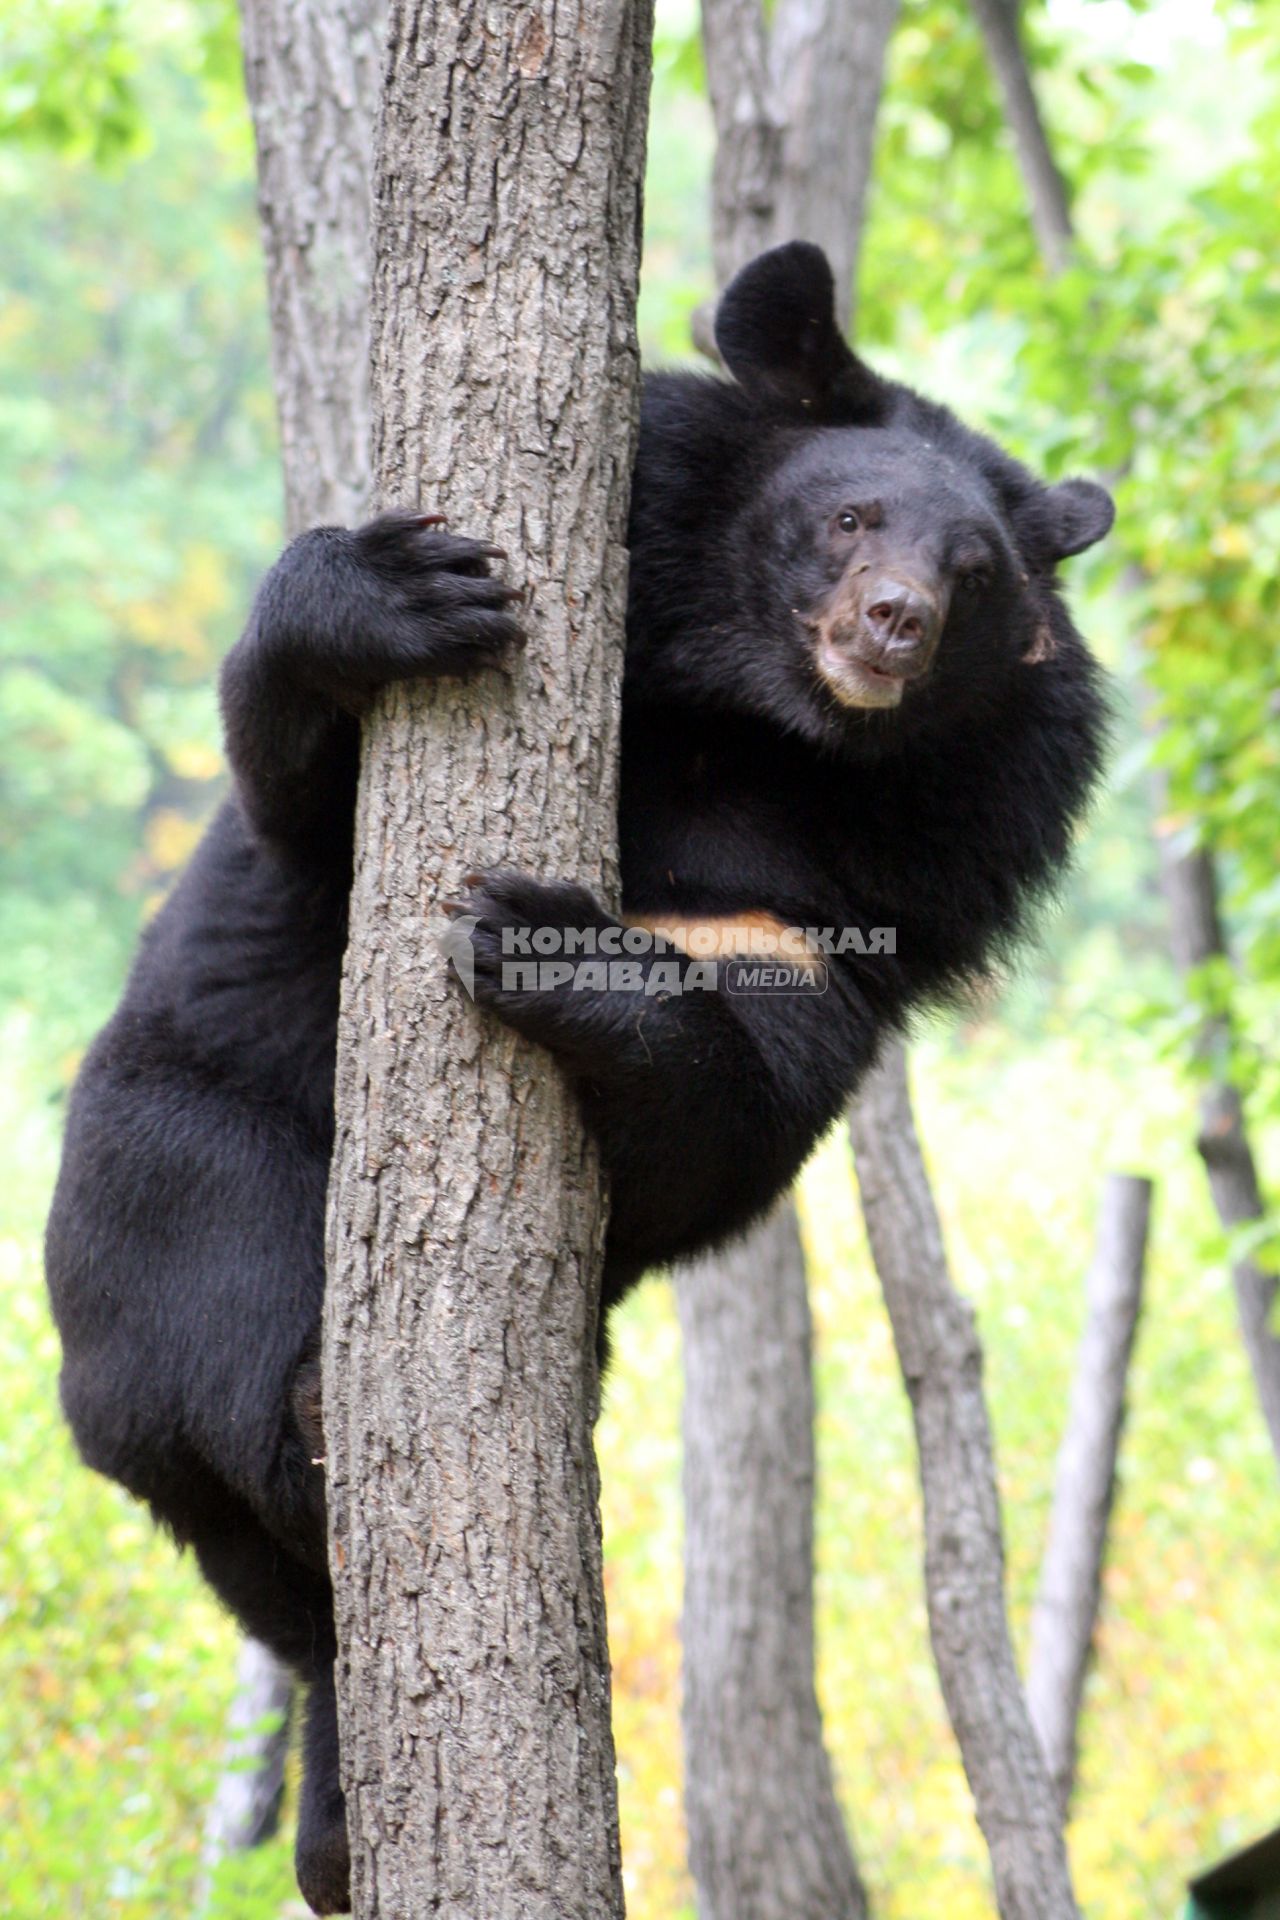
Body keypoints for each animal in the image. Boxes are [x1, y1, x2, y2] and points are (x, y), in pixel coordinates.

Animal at [45, 243, 1113, 1920]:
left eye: (979, 578)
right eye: (853, 519)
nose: (890, 626)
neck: (769, 737)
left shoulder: (872, 893)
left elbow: (738, 1095)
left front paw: (546, 943)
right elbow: (314, 818)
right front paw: (400, 597)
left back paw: (340, 1826)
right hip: (163, 1168)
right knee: (196, 1355)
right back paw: (306, 1418)